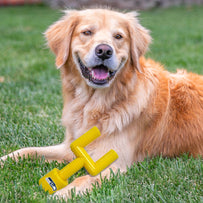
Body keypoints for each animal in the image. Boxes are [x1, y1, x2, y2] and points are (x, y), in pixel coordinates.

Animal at [0, 8, 203, 199]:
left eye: (118, 36)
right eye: (87, 32)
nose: (104, 51)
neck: (92, 104)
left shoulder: (114, 164)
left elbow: (83, 180)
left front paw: (61, 195)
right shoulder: (71, 148)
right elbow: (26, 151)